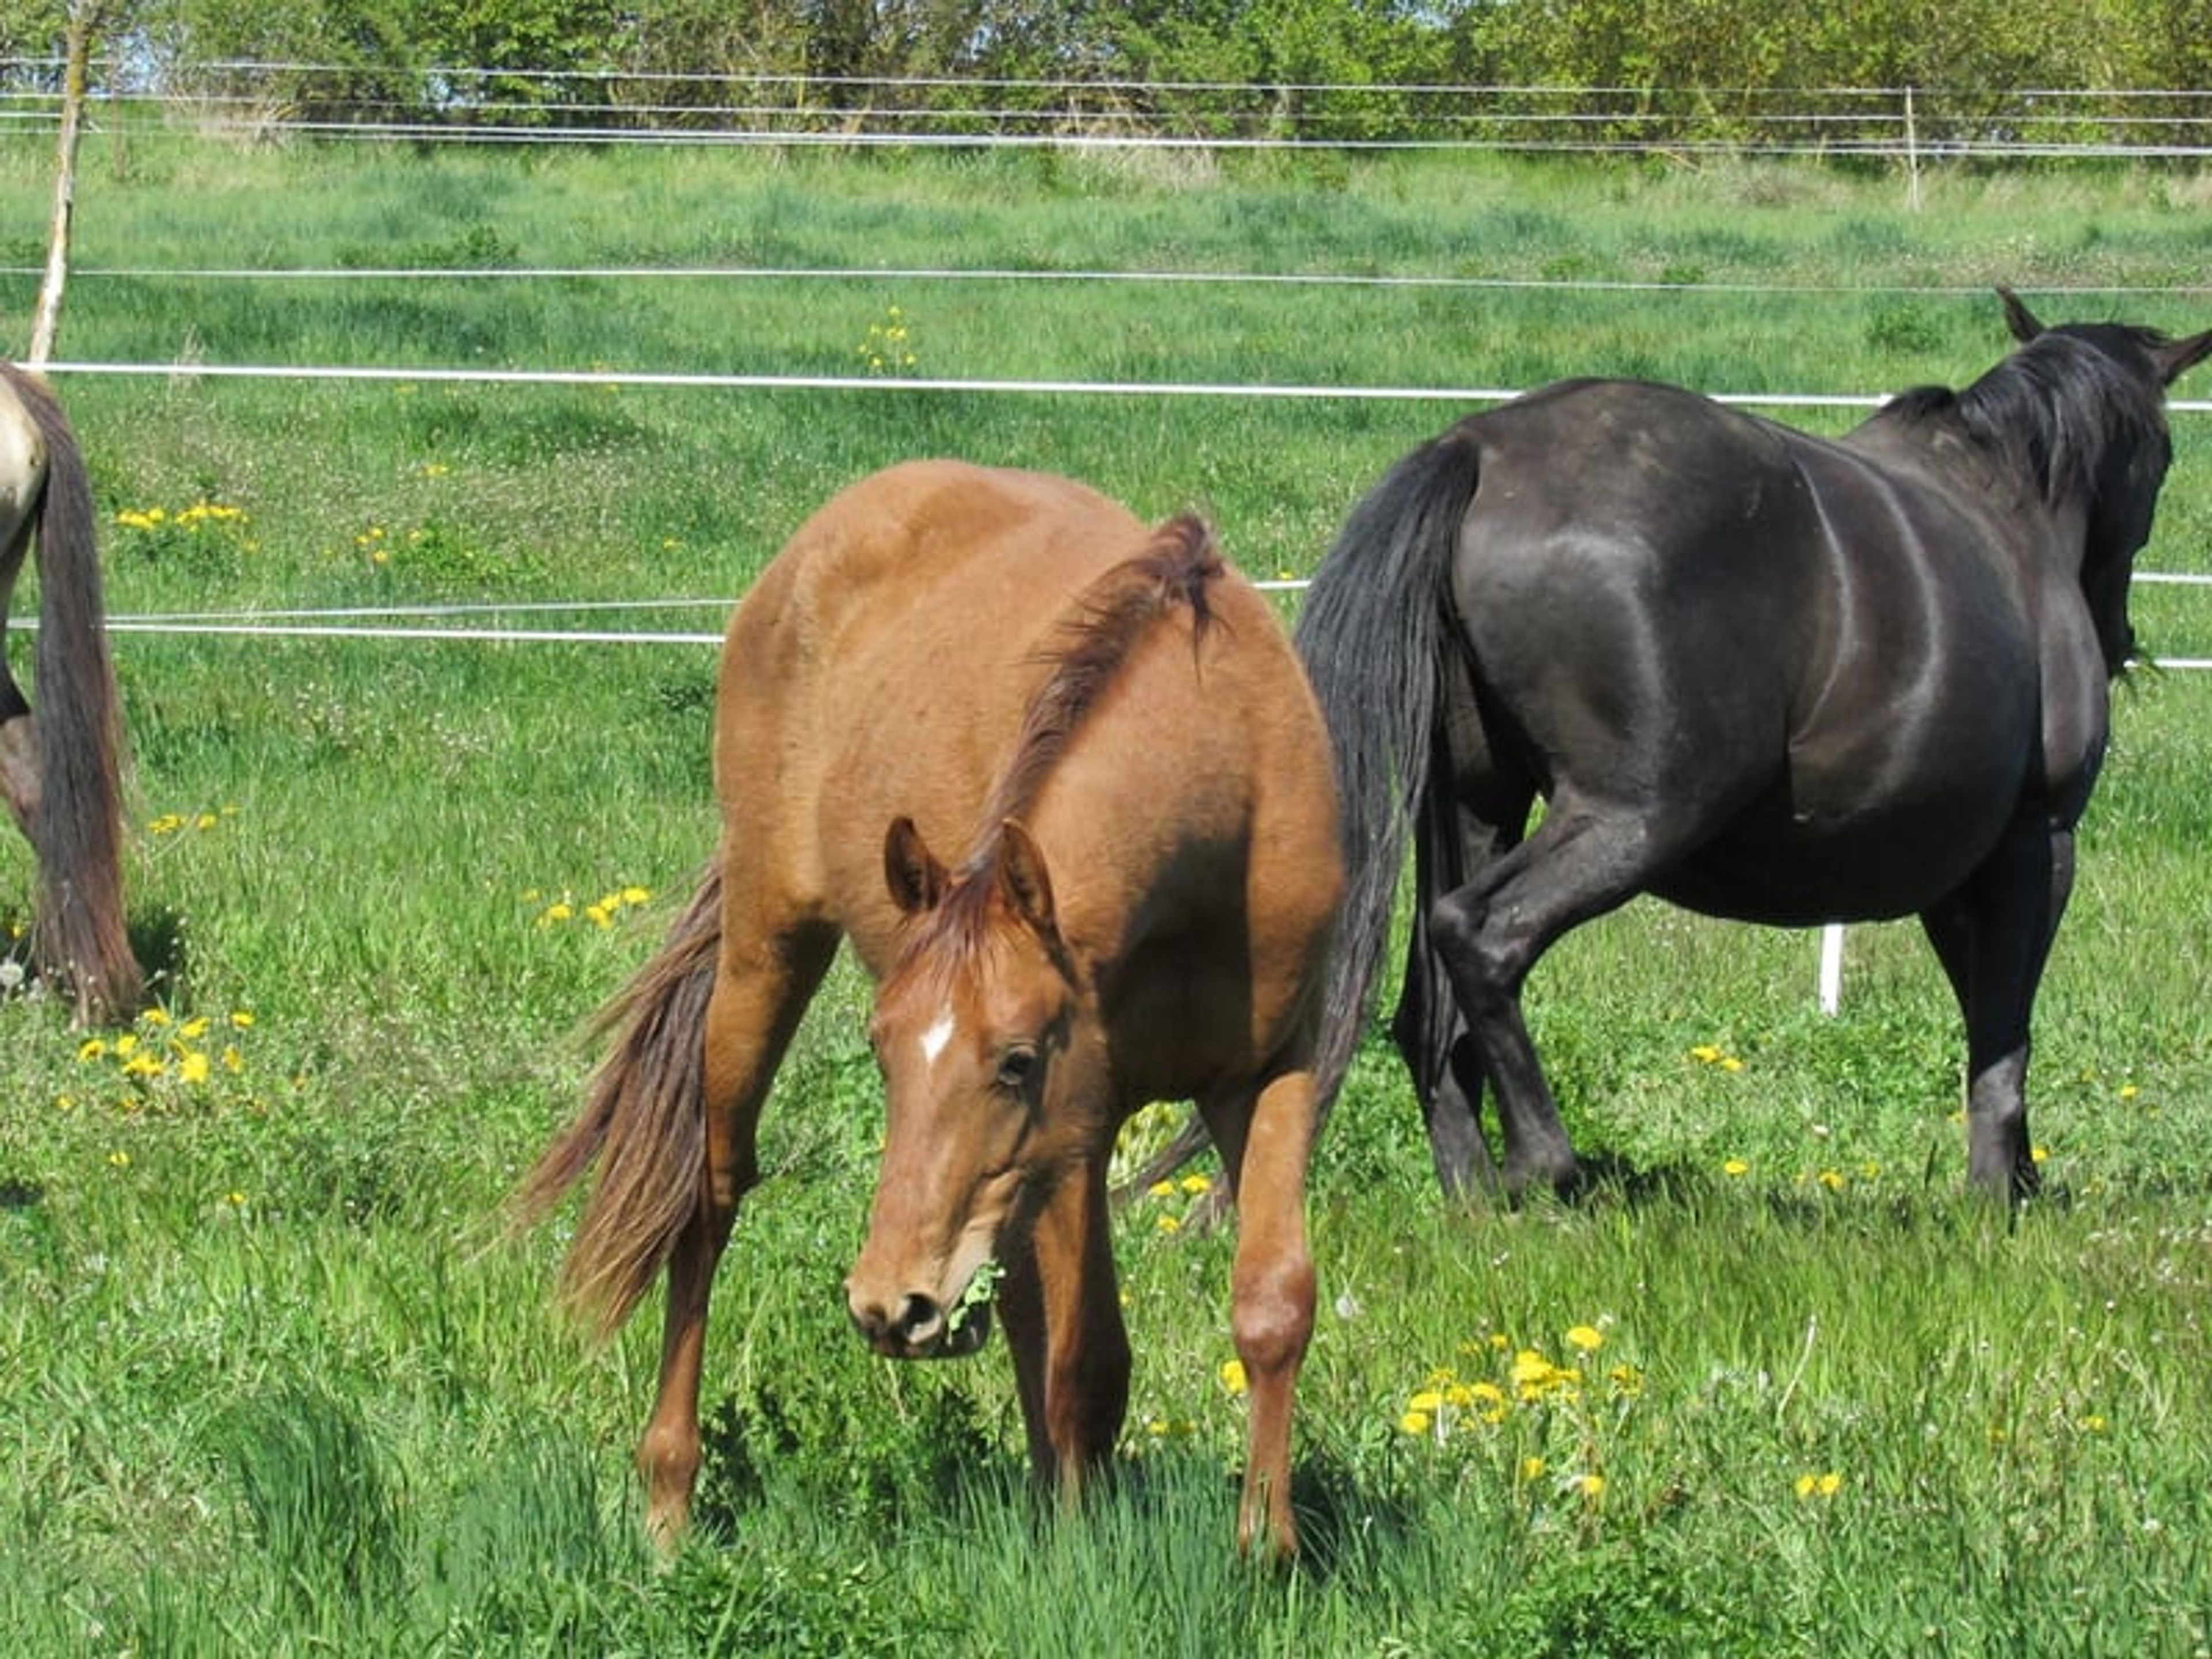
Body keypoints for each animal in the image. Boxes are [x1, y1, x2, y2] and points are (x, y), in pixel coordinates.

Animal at [516, 460, 1343, 1557]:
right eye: (882, 1053)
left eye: (1016, 1060)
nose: (887, 1306)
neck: (1224, 800)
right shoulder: (1083, 1121)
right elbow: (1088, 1362)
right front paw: (1078, 1550)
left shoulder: (1264, 1071)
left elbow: (1271, 1304)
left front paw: (1268, 1550)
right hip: (768, 951)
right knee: (713, 1198)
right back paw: (668, 1498)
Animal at [1296, 290, 2212, 1204]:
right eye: (2165, 454)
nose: (2120, 641)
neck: (2010, 505)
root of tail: (1479, 449)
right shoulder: (2038, 842)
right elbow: (2005, 1032)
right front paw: (1997, 1192)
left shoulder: (1959, 875)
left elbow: (1983, 1011)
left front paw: (2016, 1178)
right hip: (1635, 818)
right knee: (1481, 938)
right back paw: (1545, 1164)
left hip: (1478, 805)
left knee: (1427, 1009)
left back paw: (1478, 1198)